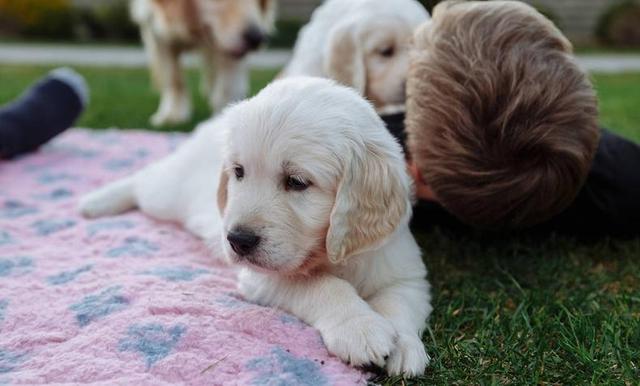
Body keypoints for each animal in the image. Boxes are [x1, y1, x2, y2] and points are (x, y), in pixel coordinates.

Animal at [79, 77, 430, 376]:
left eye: (297, 182)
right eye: (238, 171)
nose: (237, 240)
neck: (331, 253)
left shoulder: (404, 272)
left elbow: (398, 303)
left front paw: (404, 346)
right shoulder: (265, 276)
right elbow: (323, 285)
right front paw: (360, 328)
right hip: (166, 194)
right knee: (144, 179)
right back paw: (96, 201)